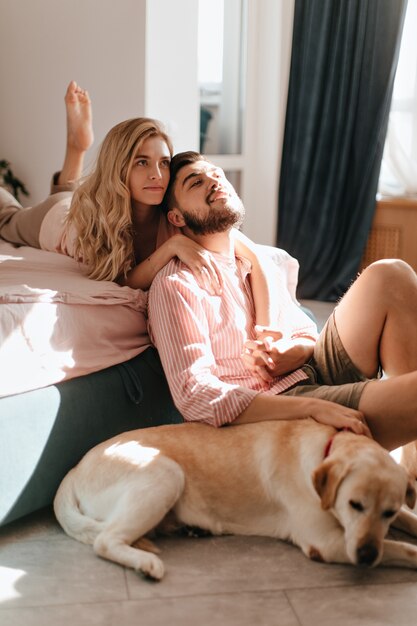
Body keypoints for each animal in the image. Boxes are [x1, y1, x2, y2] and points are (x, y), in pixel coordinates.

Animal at [53, 416, 416, 576]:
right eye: (355, 505)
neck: (327, 448)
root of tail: (73, 469)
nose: (367, 555)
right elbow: (402, 548)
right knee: (105, 541)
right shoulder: (326, 543)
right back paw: (146, 562)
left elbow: (409, 521)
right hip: (165, 474)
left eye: (389, 512)